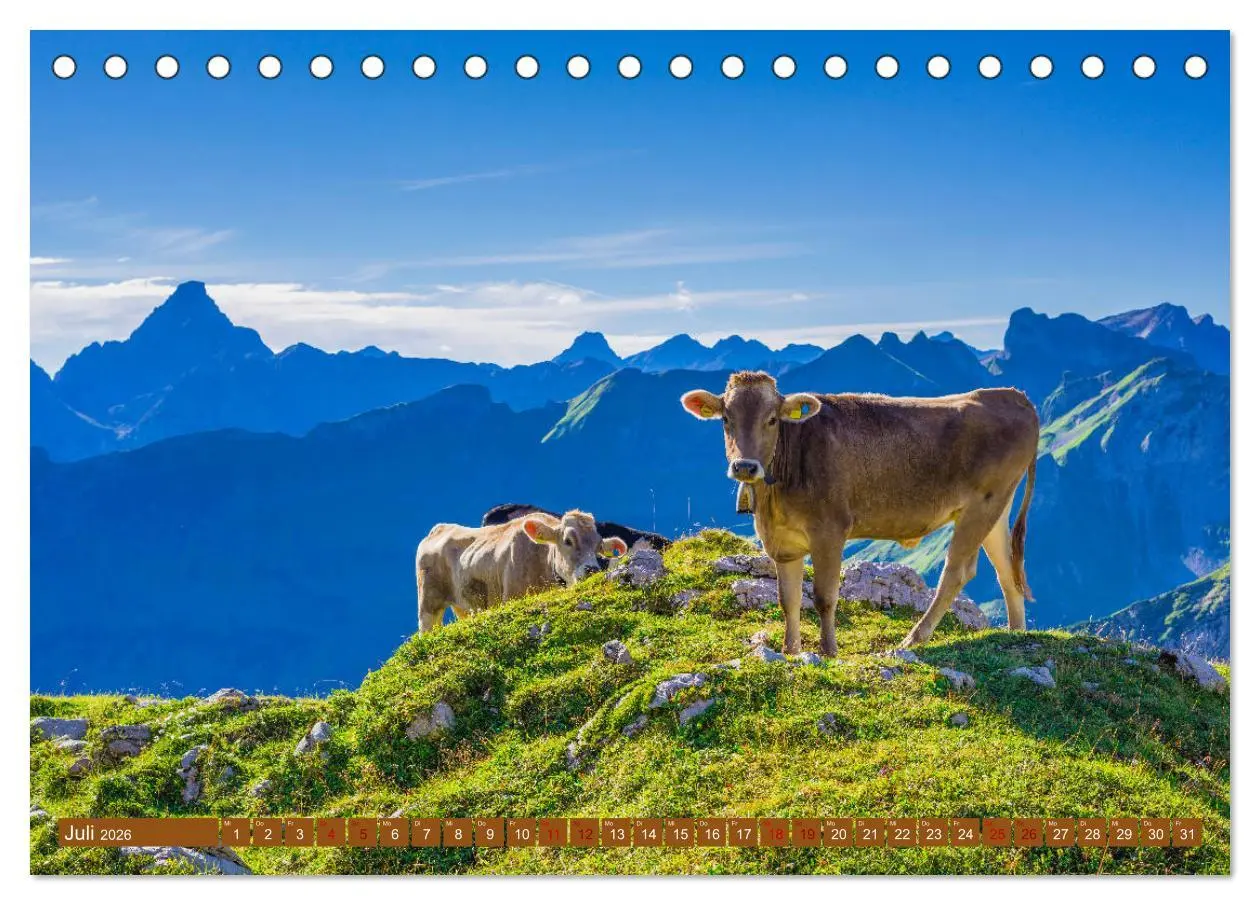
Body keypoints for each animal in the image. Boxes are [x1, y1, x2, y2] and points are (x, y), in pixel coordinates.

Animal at [415, 510, 628, 634]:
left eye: (598, 546)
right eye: (568, 541)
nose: (591, 569)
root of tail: (440, 528)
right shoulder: (511, 596)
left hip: (464, 605)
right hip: (428, 603)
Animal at [681, 370, 1038, 654]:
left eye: (772, 419)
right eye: (726, 419)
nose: (744, 466)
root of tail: (1013, 396)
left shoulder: (829, 531)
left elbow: (824, 596)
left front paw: (828, 651)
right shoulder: (783, 542)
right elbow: (788, 599)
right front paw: (790, 651)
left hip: (984, 502)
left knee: (958, 571)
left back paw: (913, 639)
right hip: (997, 505)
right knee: (1007, 569)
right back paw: (1016, 634)